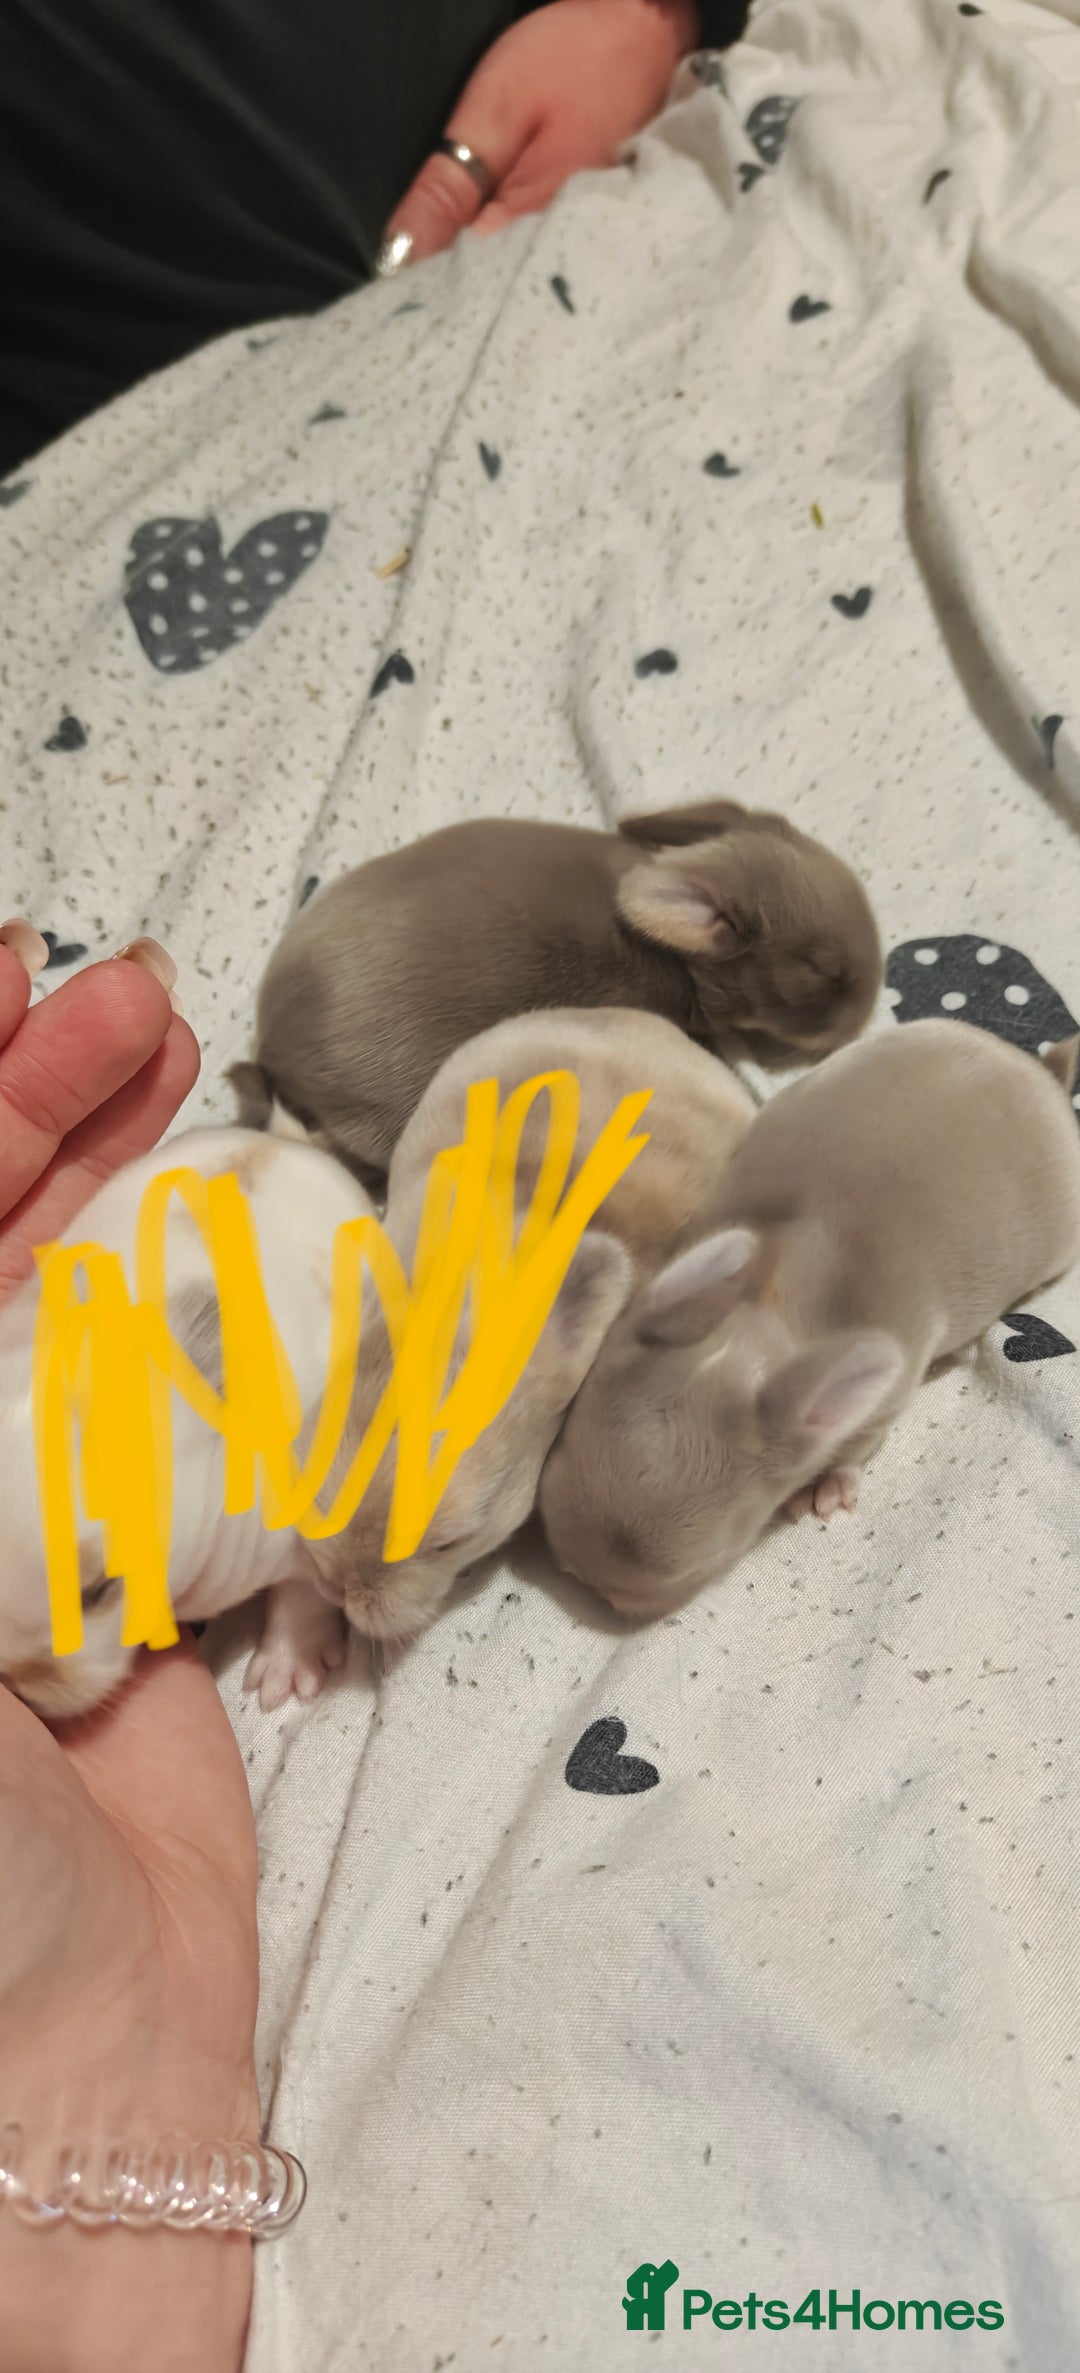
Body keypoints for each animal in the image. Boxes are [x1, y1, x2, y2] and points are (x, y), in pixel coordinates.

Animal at [538, 1020, 1080, 1619]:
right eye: (553, 1458)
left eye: (714, 1559)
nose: (586, 1583)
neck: (772, 1306)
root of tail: (1040, 1072)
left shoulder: (882, 1399)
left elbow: (855, 1447)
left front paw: (826, 1492)